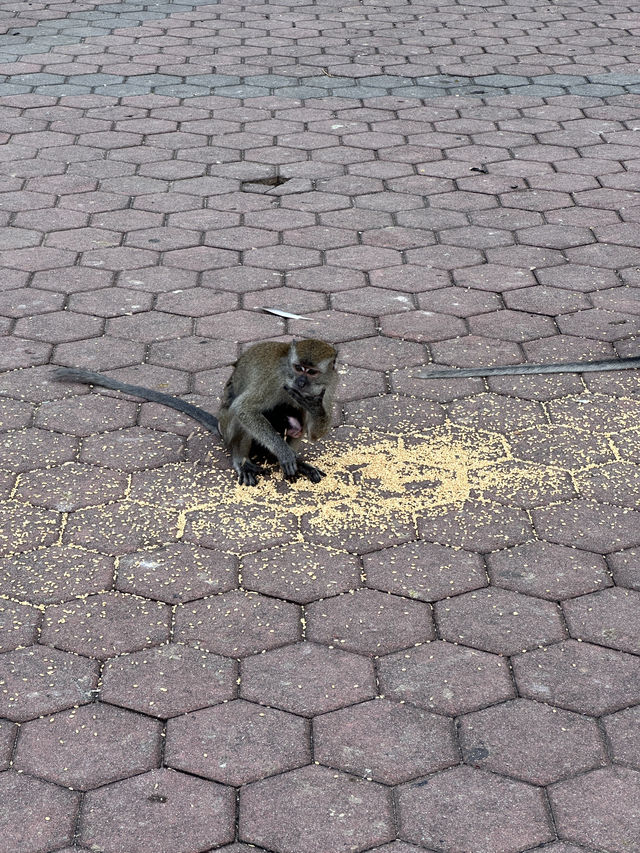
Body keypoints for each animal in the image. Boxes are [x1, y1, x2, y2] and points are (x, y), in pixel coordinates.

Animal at [53, 338, 340, 486]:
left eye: (311, 372)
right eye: (298, 368)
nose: (300, 382)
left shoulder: (331, 382)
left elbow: (314, 431)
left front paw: (313, 407)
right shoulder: (274, 379)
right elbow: (245, 410)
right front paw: (283, 453)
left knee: (296, 420)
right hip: (227, 428)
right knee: (236, 411)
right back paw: (243, 460)